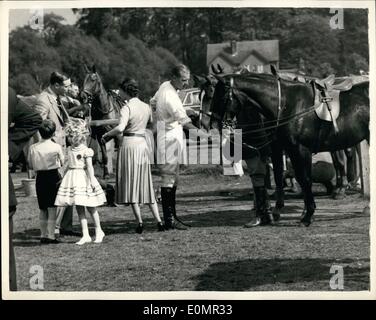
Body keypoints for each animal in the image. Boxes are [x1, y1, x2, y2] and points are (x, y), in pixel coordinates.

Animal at [210, 69, 368, 226]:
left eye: (220, 96)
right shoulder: (281, 149)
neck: (289, 104)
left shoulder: (300, 149)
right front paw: (278, 211)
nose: (213, 124)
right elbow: (280, 176)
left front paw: (308, 215)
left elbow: (305, 179)